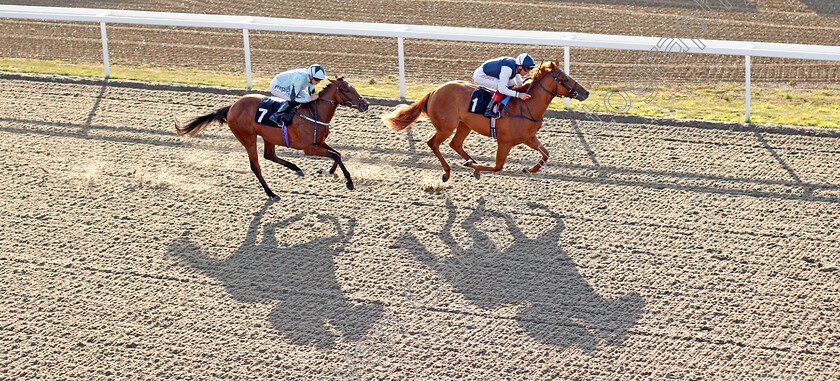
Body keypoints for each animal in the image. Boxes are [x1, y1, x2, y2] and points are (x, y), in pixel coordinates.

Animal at [176, 75, 370, 197]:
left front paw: (327, 171)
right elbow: (335, 155)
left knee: (269, 155)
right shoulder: (309, 148)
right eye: (345, 90)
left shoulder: (320, 143)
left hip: (267, 137)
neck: (314, 114)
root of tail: (232, 106)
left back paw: (296, 169)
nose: (365, 104)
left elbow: (337, 154)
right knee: (256, 166)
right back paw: (271, 193)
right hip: (248, 138)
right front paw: (349, 182)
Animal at [382, 61, 588, 180]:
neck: (526, 106)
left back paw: (470, 160)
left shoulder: (529, 138)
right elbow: (498, 167)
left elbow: (546, 154)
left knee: (455, 144)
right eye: (564, 79)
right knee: (433, 143)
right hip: (446, 127)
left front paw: (528, 169)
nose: (586, 92)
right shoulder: (504, 142)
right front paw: (476, 169)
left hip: (464, 125)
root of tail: (434, 91)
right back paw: (448, 171)